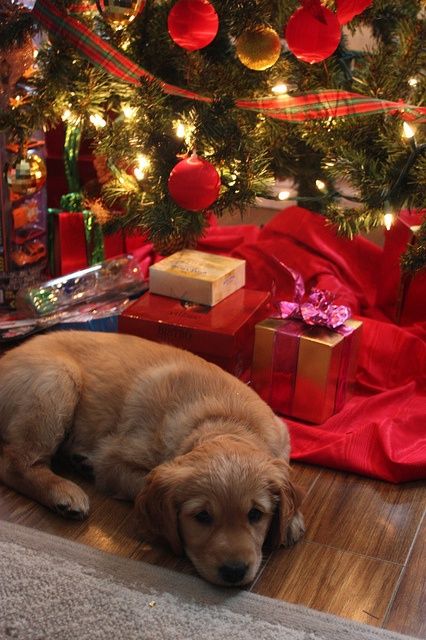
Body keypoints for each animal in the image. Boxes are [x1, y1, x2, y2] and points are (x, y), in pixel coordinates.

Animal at [0, 332, 302, 588]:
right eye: (202, 517)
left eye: (255, 514)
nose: (235, 571)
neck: (225, 420)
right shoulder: (112, 459)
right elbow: (145, 479)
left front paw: (292, 519)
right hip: (56, 380)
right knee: (15, 463)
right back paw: (63, 493)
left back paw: (79, 463)